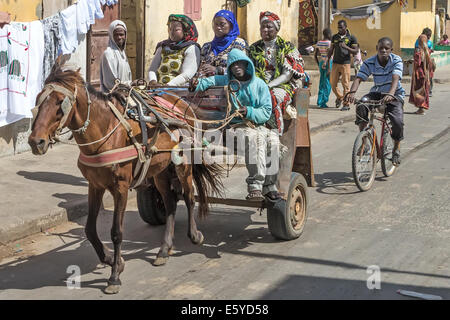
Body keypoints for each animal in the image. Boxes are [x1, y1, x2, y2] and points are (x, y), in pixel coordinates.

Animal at [27, 60, 221, 296]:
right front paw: (112, 259)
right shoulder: (95, 185)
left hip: (183, 164)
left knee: (190, 196)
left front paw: (114, 277)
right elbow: (89, 229)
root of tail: (181, 101)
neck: (106, 132)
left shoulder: (120, 188)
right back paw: (163, 250)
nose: (36, 142)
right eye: (38, 100)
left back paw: (194, 235)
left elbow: (117, 232)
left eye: (59, 103)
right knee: (170, 203)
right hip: (160, 170)